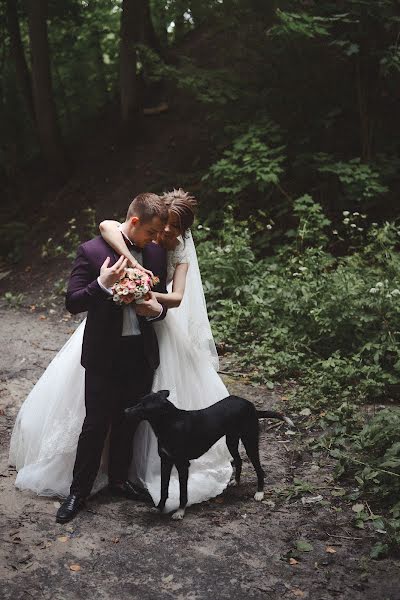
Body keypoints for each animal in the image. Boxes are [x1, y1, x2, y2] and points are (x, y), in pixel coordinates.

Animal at [125, 392, 294, 516]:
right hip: (231, 440)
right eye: (140, 402)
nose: (125, 411)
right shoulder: (165, 461)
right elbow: (163, 488)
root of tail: (251, 406)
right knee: (239, 460)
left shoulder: (182, 464)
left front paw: (180, 511)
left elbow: (183, 492)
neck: (170, 424)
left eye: (144, 406)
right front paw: (159, 507)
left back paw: (260, 492)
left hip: (250, 441)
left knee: (259, 469)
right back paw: (236, 481)